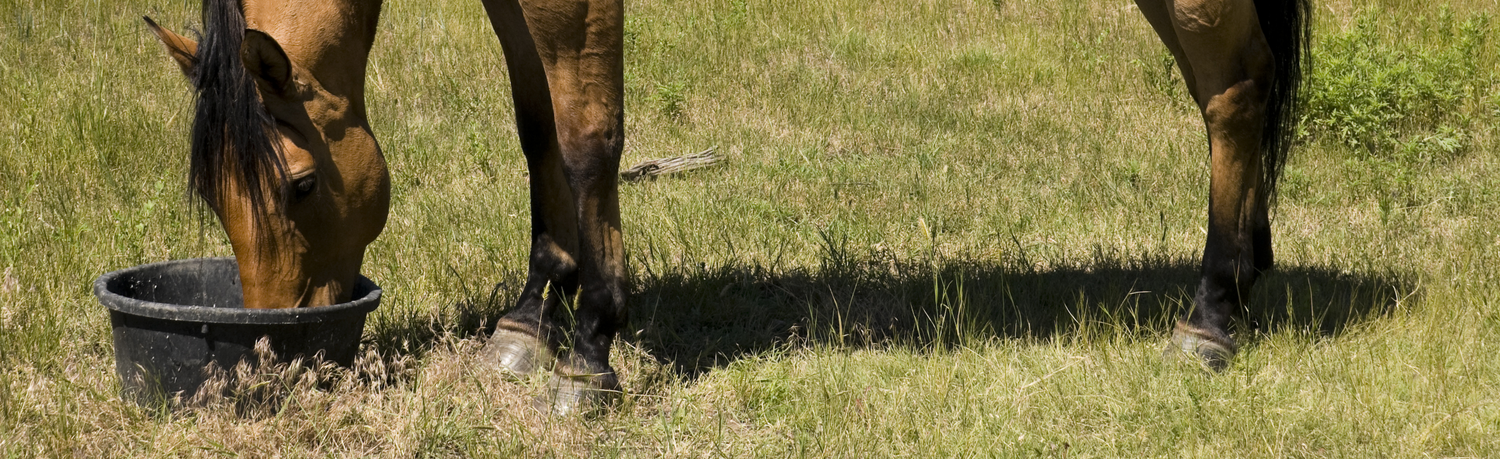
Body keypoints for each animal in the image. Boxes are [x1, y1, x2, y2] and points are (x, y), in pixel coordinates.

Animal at [143, 0, 1306, 414]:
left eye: (298, 186)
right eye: (214, 195)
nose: (273, 352)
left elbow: (590, 140)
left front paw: (593, 350)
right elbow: (537, 130)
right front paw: (529, 319)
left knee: (1233, 92)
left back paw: (1210, 315)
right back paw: (1247, 274)